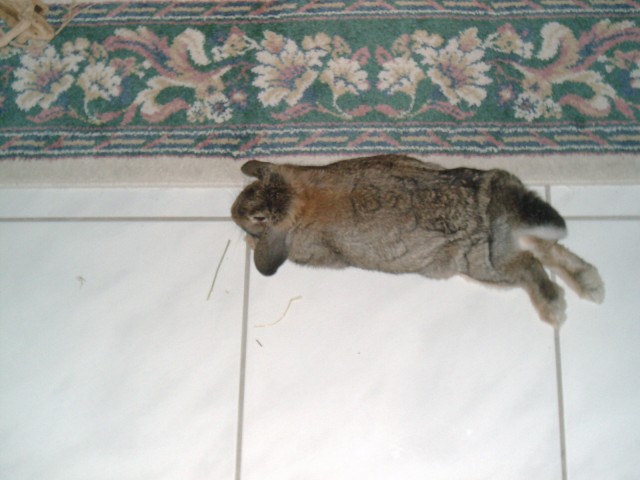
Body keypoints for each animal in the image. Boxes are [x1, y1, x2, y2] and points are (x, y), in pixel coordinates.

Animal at [231, 154, 604, 327]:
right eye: (250, 191)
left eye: (256, 218)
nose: (233, 212)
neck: (297, 198)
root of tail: (488, 205)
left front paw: (248, 244)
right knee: (547, 247)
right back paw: (591, 284)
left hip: (485, 267)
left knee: (529, 265)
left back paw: (555, 309)